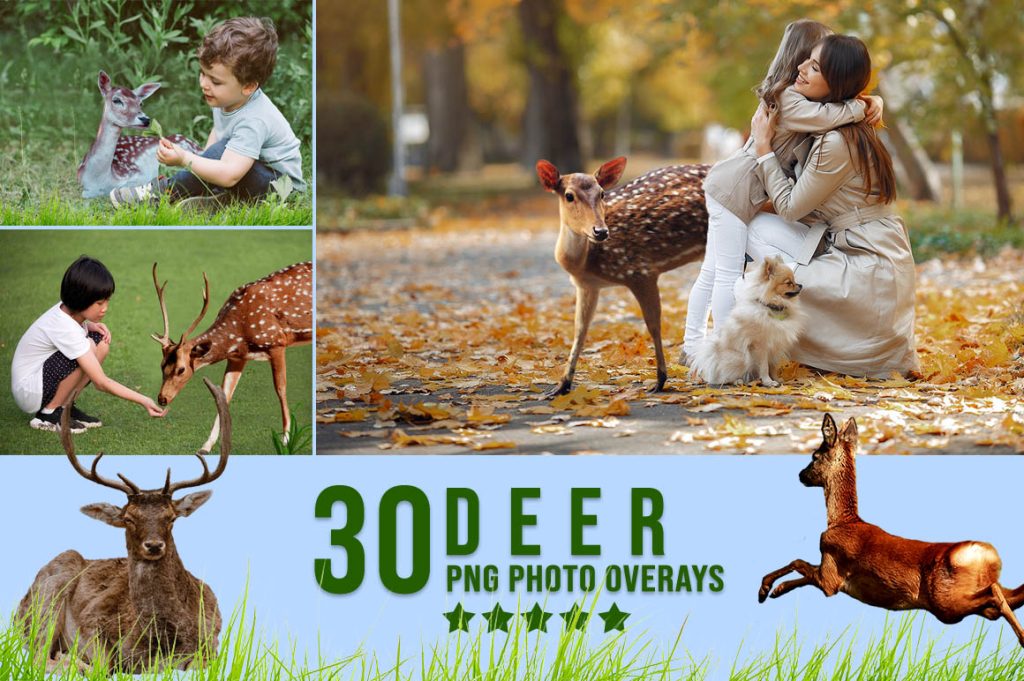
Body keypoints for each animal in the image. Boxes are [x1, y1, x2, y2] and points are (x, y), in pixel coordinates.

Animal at [16, 378, 228, 673]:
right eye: (129, 519)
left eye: (171, 518)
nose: (153, 545)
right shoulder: (93, 622)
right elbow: (102, 664)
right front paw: (78, 661)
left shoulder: (213, 643)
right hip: (48, 592)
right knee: (38, 654)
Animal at [151, 261, 313, 453]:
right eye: (161, 365)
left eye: (181, 369)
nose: (162, 398)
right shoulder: (238, 358)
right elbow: (223, 395)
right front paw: (206, 446)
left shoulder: (276, 342)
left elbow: (281, 389)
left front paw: (285, 440)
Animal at [536, 157, 710, 397]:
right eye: (569, 195)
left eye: (602, 193)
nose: (600, 231)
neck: (586, 261)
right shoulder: (587, 285)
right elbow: (580, 329)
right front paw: (561, 386)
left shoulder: (640, 270)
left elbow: (653, 324)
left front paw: (660, 380)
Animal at [759, 413, 1024, 647]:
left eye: (814, 456)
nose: (800, 475)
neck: (843, 521)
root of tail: (986, 555)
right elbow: (800, 567)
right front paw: (774, 591)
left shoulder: (831, 576)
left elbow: (798, 562)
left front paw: (765, 590)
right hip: (966, 601)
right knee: (1005, 597)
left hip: (946, 601)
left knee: (995, 594)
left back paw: (1021, 639)